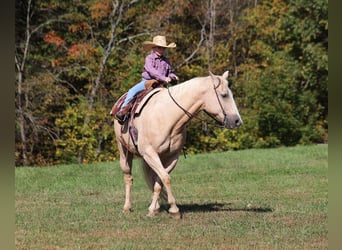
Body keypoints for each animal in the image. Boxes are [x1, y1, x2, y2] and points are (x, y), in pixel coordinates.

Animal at [115, 71, 243, 218]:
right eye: (224, 95)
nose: (237, 121)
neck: (168, 116)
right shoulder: (149, 153)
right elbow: (166, 178)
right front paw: (174, 210)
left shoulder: (172, 156)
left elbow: (160, 180)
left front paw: (154, 209)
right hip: (124, 151)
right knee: (128, 178)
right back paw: (127, 207)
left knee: (152, 179)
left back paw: (156, 207)